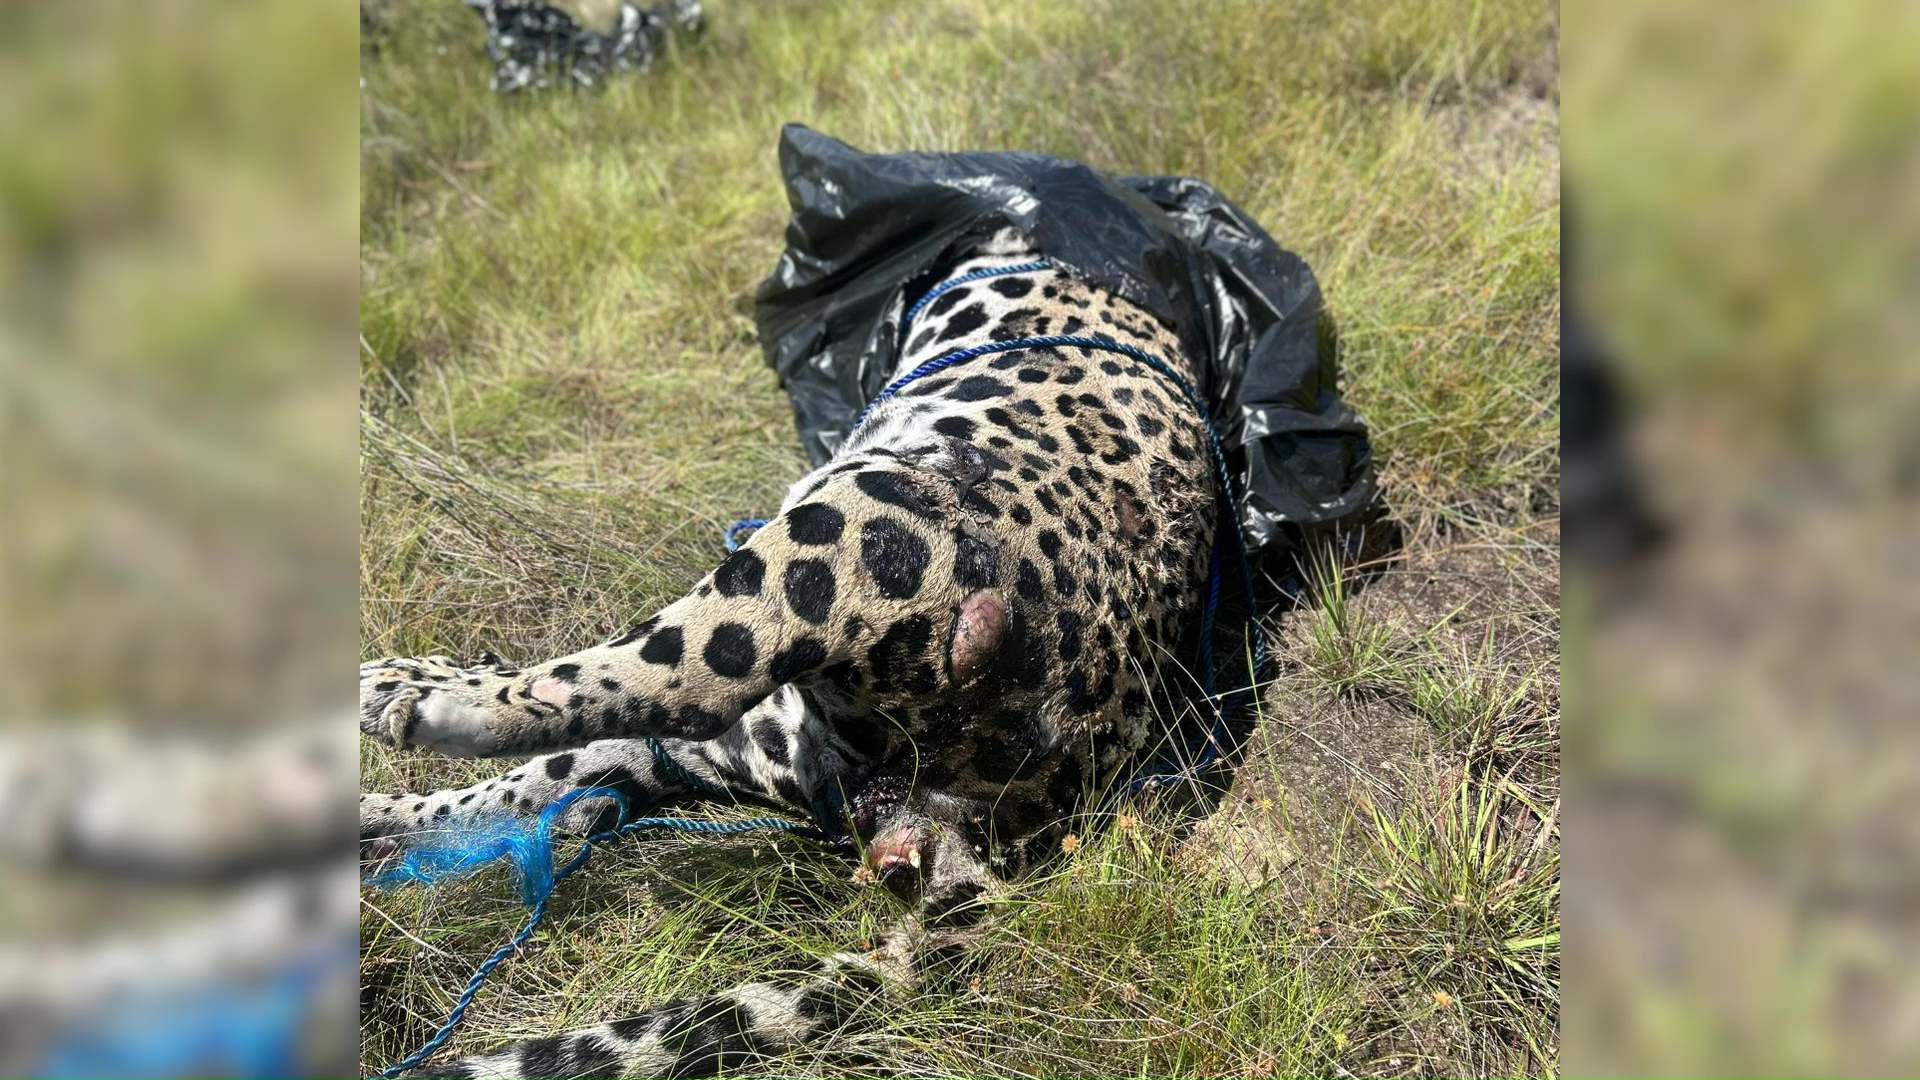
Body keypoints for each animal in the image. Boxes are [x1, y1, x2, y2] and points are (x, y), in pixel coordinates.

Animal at [358, 228, 1229, 1079]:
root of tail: (1033, 800)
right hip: (746, 743)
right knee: (534, 786)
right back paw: (379, 812)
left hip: (857, 523)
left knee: (672, 675)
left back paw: (423, 693)